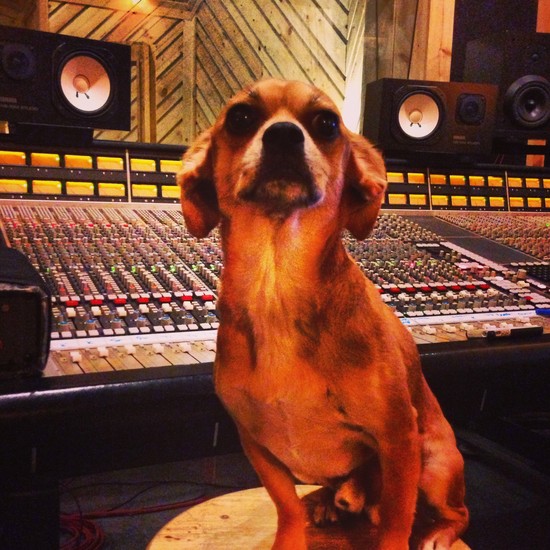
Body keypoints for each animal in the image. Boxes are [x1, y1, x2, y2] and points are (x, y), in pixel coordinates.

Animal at [178, 78, 469, 549]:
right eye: (240, 117)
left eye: (327, 124)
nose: (283, 135)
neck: (275, 287)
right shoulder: (256, 445)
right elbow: (286, 507)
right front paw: (291, 535)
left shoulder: (399, 440)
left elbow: (396, 519)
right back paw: (328, 500)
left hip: (435, 466)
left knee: (455, 513)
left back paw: (436, 532)